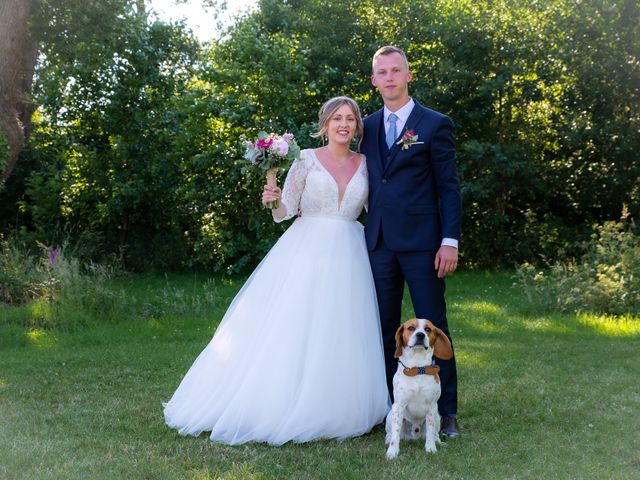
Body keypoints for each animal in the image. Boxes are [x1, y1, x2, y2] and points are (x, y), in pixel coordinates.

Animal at [384, 316, 456, 460]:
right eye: (411, 328)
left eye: (428, 329)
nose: (420, 335)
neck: (417, 369)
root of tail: (414, 436)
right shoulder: (399, 406)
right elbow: (395, 434)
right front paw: (392, 452)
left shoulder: (432, 406)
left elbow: (430, 431)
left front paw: (431, 448)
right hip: (390, 414)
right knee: (391, 433)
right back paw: (388, 441)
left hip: (437, 416)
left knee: (434, 433)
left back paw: (438, 442)